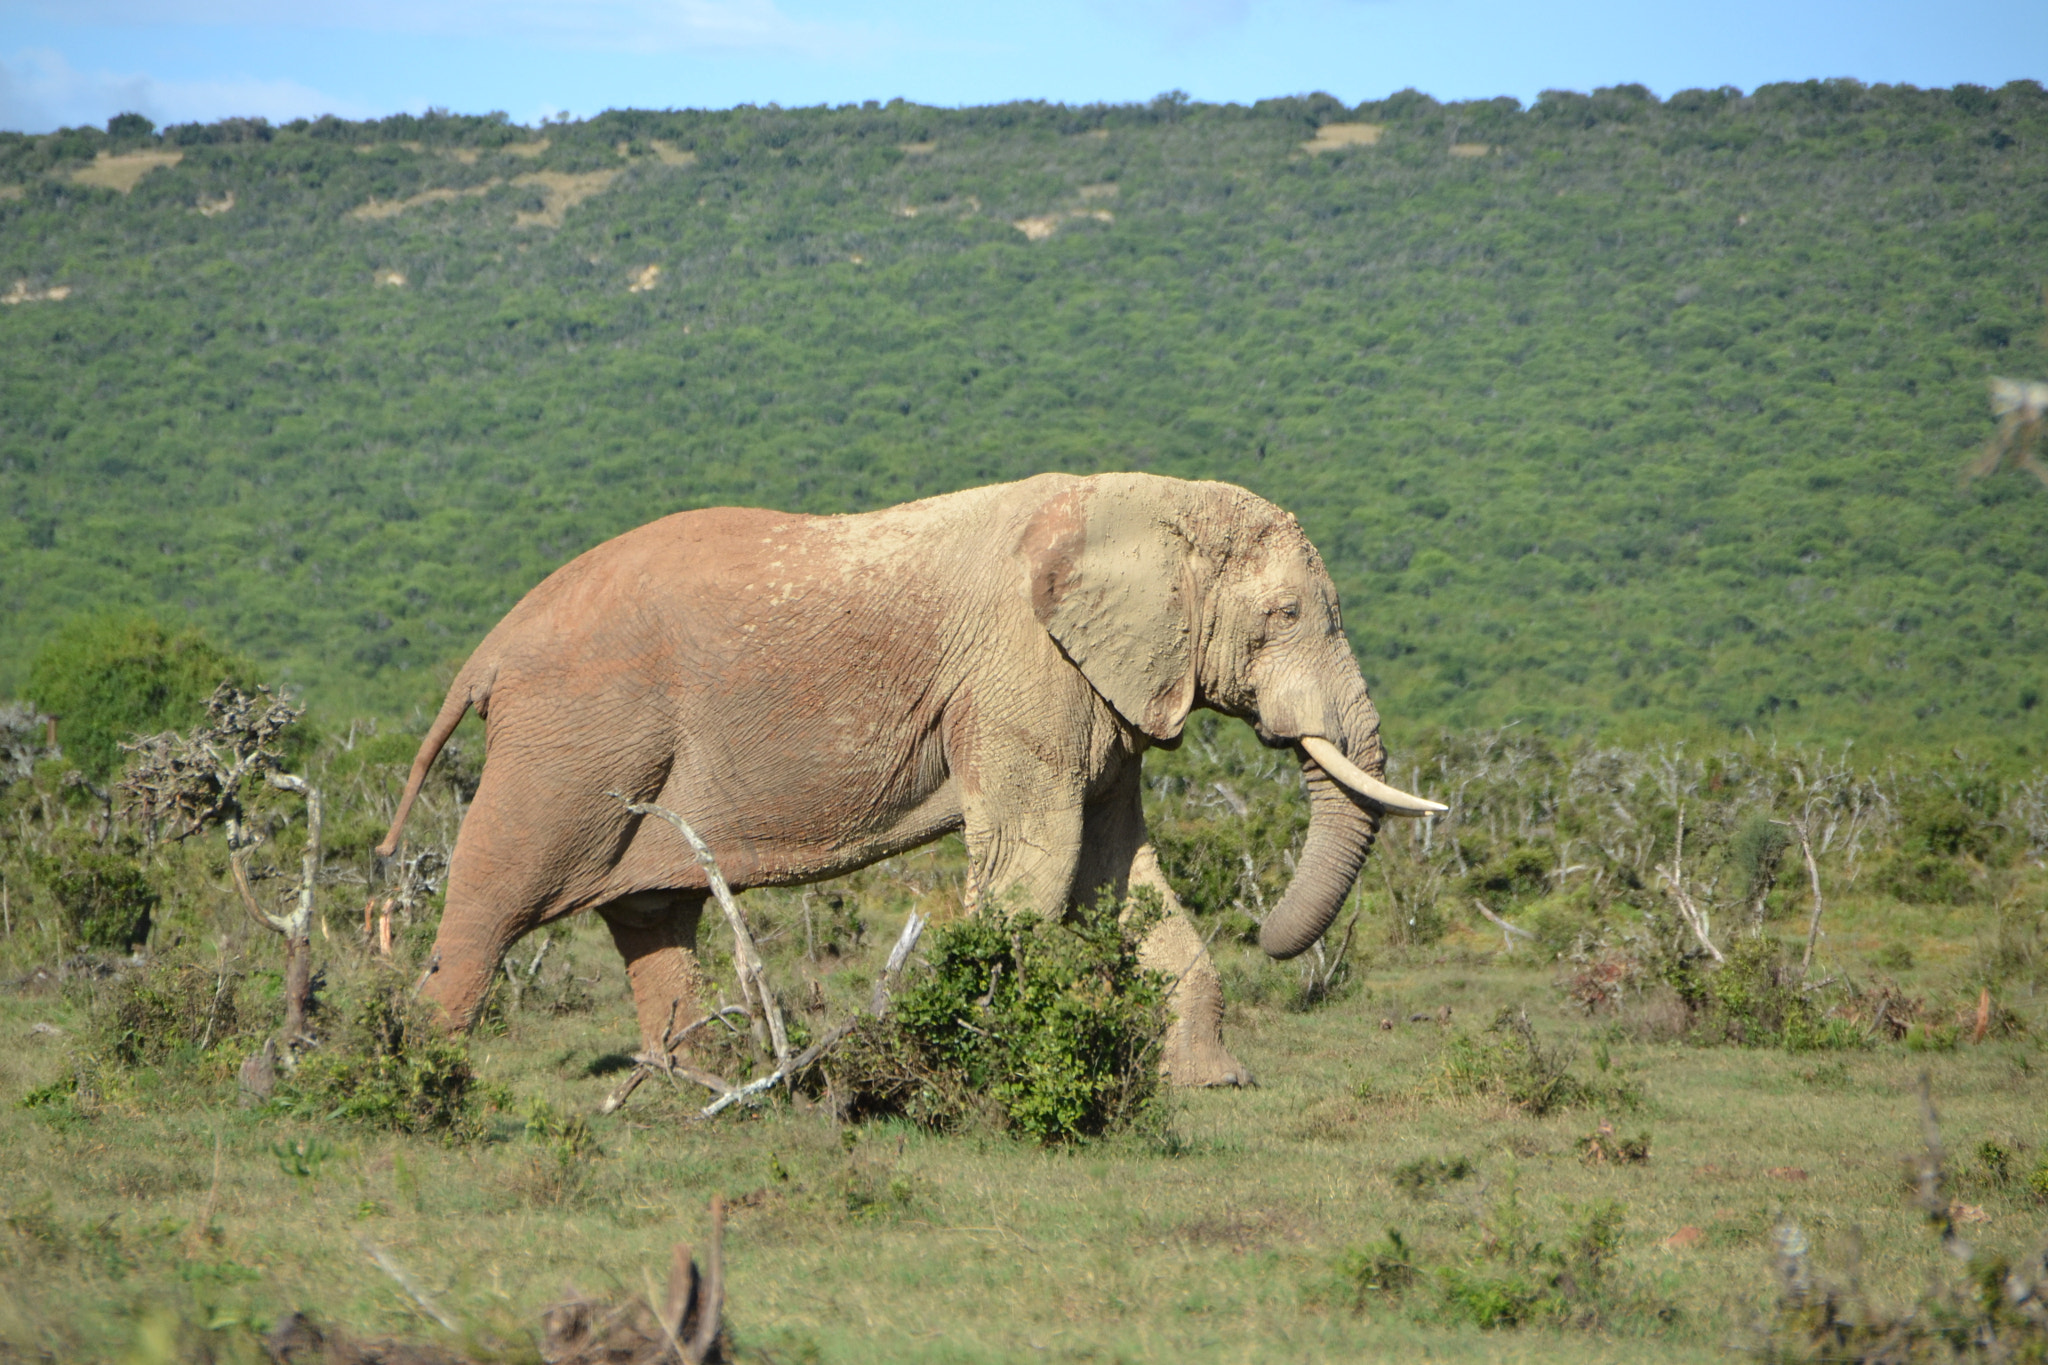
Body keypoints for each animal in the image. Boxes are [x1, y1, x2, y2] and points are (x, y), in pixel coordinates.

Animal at [375, 472, 1442, 1087]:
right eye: (1287, 615)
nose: (1270, 936)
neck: (1135, 501)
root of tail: (488, 651)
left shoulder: (1089, 688)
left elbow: (1116, 871)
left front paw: (1212, 1084)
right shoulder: (1019, 672)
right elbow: (1040, 864)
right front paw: (975, 1056)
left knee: (650, 915)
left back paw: (700, 1080)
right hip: (573, 741)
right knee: (494, 898)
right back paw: (418, 1076)